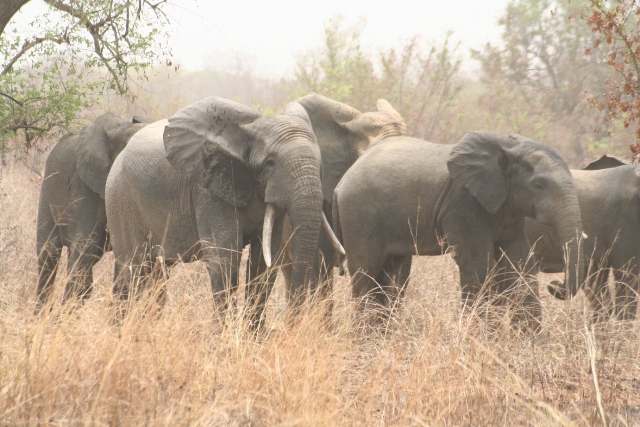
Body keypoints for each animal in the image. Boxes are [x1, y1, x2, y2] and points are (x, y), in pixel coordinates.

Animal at [105, 97, 340, 328]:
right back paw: (121, 331)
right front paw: (224, 337)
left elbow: (264, 264)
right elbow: (225, 261)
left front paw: (252, 336)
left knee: (153, 272)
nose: (292, 325)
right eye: (270, 163)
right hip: (120, 199)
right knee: (132, 270)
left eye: (320, 164)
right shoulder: (209, 189)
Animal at [332, 130, 588, 328]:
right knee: (366, 270)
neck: (507, 147)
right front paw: (479, 337)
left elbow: (520, 263)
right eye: (538, 185)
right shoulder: (463, 203)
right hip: (359, 214)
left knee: (390, 274)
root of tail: (341, 182)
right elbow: (477, 263)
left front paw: (528, 343)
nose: (555, 285)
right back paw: (363, 334)